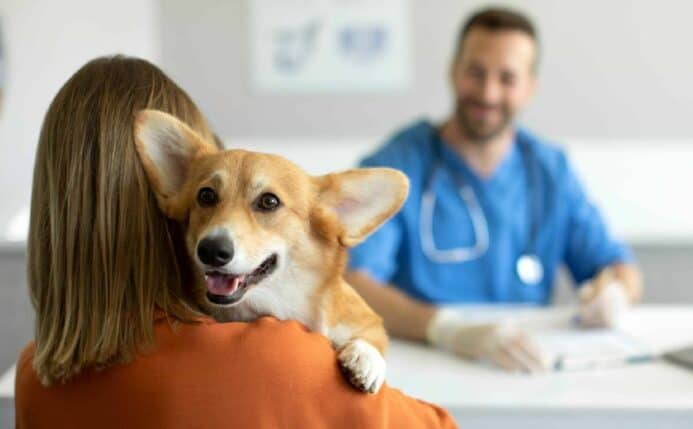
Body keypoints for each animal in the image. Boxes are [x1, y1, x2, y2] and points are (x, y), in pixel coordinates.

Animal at [132, 109, 408, 392]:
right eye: (206, 196)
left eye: (269, 201)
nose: (210, 250)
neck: (279, 303)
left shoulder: (363, 320)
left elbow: (373, 336)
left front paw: (366, 359)